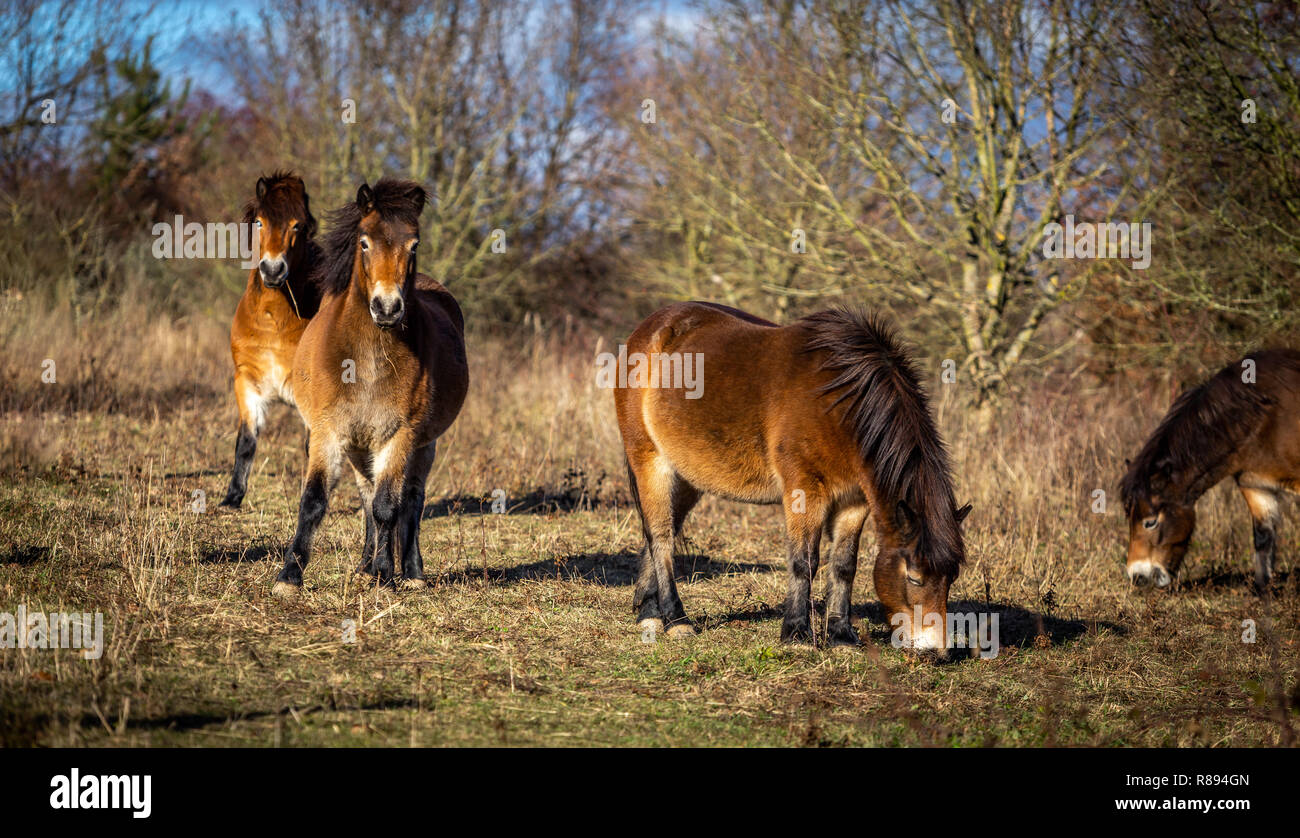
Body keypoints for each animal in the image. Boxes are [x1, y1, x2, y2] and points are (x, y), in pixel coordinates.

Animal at [219, 172, 322, 509]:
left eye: (297, 225)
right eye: (260, 222)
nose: (273, 270)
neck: (274, 323)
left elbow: (312, 448)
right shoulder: (247, 382)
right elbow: (246, 442)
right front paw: (232, 497)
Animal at [272, 179, 468, 597]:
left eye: (414, 245)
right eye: (364, 243)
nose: (387, 308)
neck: (365, 361)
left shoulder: (399, 435)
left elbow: (388, 507)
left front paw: (386, 574)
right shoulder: (327, 432)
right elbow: (315, 500)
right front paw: (289, 577)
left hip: (419, 446)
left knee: (409, 500)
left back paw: (409, 572)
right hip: (359, 446)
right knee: (365, 495)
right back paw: (364, 568)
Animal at [613, 302, 971, 652]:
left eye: (951, 578)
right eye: (914, 577)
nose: (935, 650)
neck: (839, 406)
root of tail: (652, 328)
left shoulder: (854, 502)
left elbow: (844, 565)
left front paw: (841, 635)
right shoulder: (805, 491)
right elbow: (804, 561)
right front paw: (797, 633)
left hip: (687, 477)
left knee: (664, 531)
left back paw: (649, 612)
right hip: (650, 461)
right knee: (660, 536)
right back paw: (676, 620)